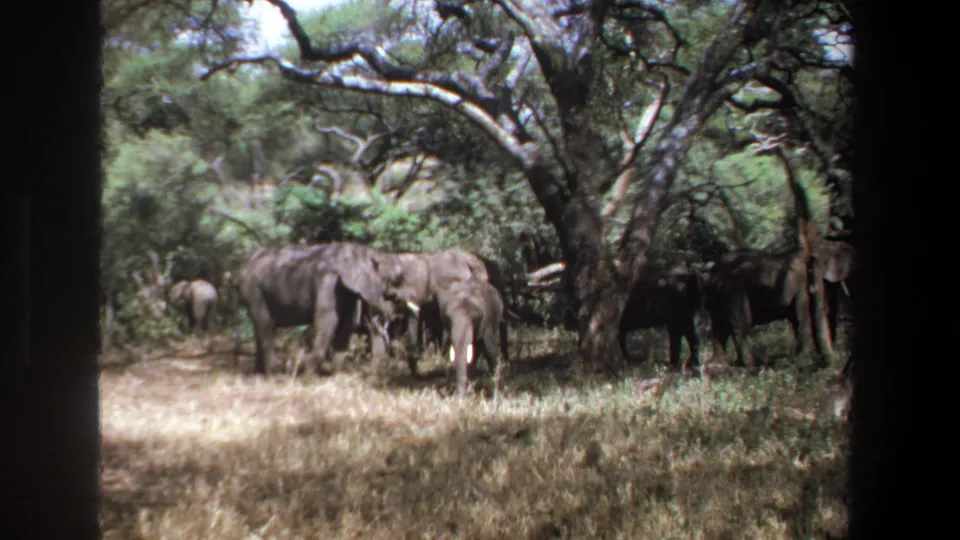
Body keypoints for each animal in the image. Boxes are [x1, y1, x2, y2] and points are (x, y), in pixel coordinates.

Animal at [237, 242, 407, 376]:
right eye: (394, 280)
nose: (395, 313)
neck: (357, 250)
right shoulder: (328, 282)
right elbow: (328, 322)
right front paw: (310, 378)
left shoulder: (347, 292)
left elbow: (347, 325)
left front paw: (337, 376)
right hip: (254, 291)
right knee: (266, 327)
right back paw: (272, 374)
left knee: (262, 330)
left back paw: (259, 374)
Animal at [702, 248, 835, 369]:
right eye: (812, 273)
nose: (827, 364)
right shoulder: (800, 286)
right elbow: (800, 319)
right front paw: (802, 363)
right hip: (733, 292)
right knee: (739, 325)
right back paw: (747, 366)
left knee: (721, 326)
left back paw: (719, 364)